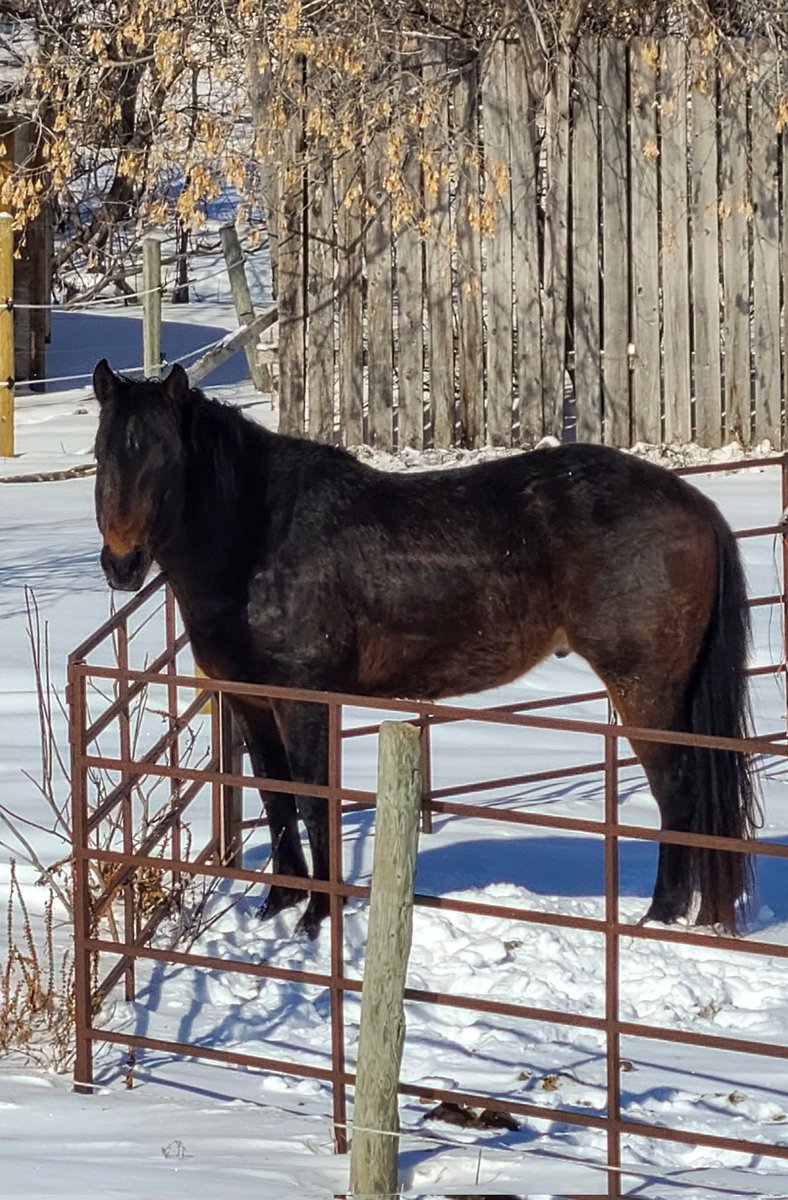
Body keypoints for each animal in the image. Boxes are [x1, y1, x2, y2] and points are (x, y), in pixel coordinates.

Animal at [92, 359, 759, 937]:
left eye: (167, 459)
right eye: (102, 453)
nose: (122, 565)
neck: (260, 538)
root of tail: (695, 505)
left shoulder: (305, 701)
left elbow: (313, 800)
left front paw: (316, 918)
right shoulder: (250, 700)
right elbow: (277, 799)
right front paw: (278, 905)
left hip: (644, 689)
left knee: (678, 793)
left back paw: (659, 917)